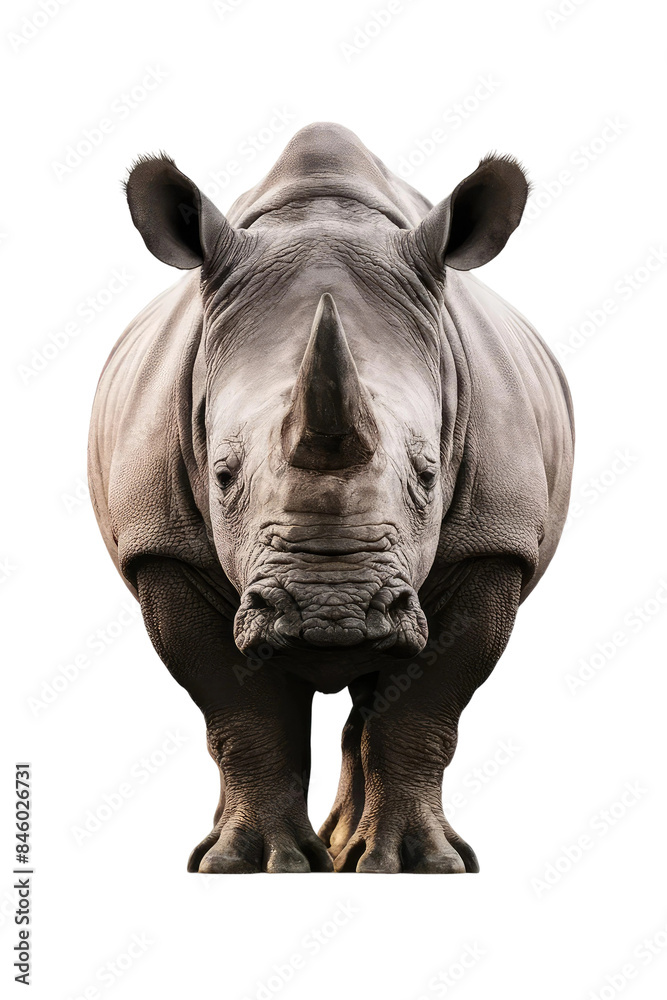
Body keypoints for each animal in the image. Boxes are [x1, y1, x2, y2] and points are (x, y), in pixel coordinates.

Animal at [88, 122, 574, 873]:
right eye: (222, 474)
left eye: (428, 473)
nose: (331, 613)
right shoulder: (164, 549)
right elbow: (240, 714)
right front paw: (249, 864)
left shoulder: (493, 545)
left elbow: (423, 709)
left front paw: (423, 865)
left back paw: (355, 849)